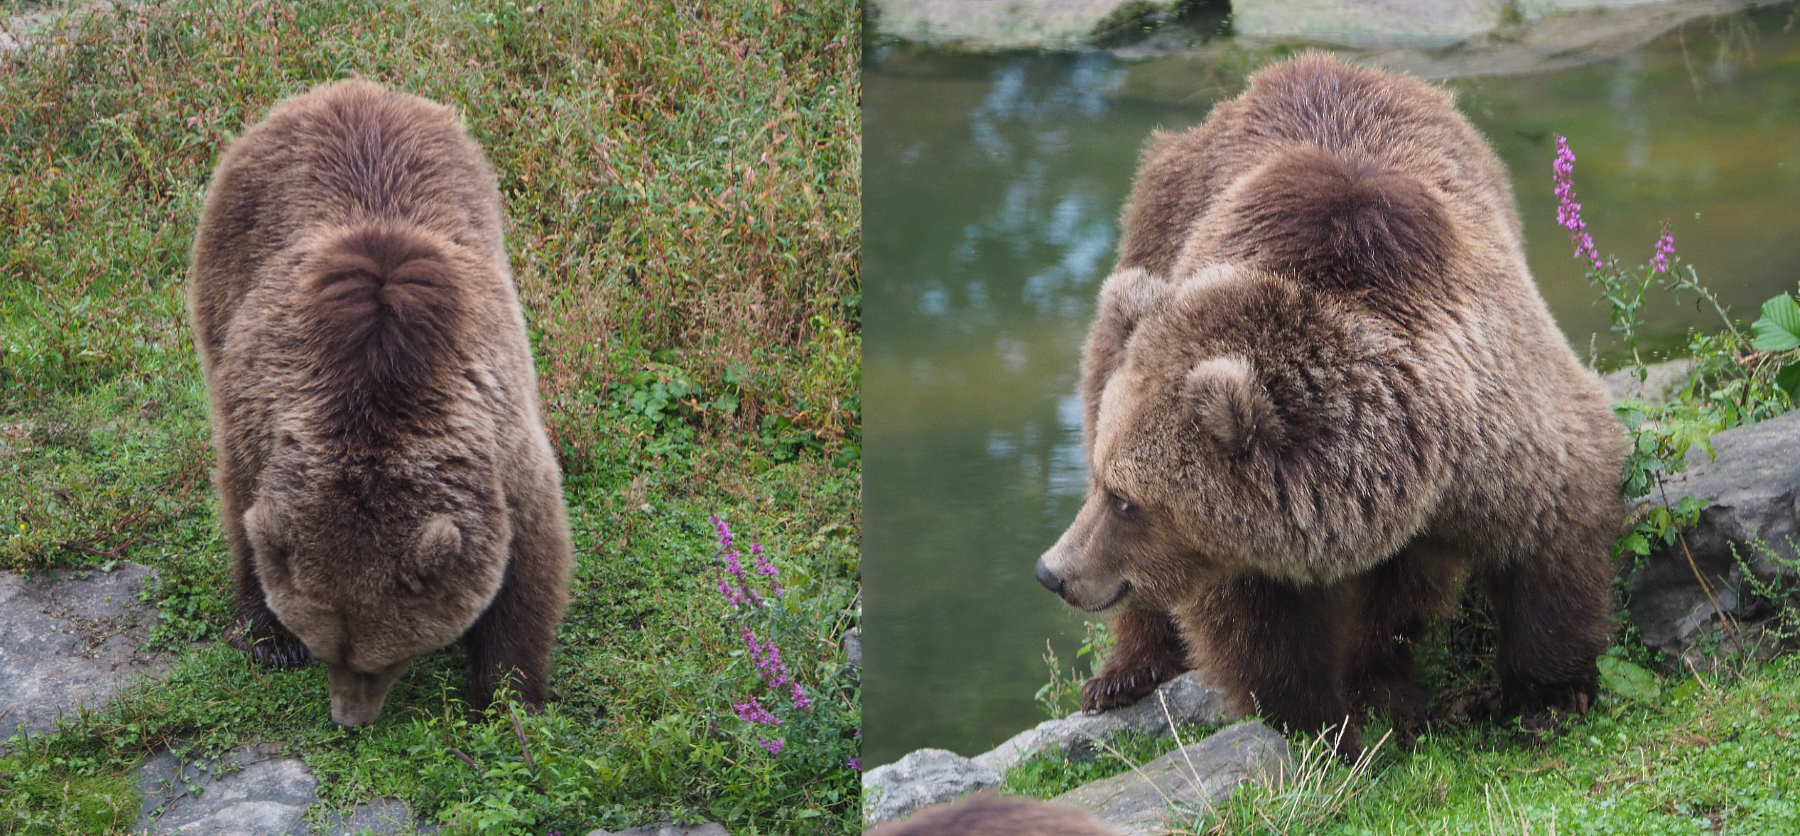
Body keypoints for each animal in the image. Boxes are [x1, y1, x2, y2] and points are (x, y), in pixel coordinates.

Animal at [187, 79, 573, 727]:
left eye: (381, 659)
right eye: (326, 650)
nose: (349, 719)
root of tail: (344, 89)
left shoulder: (501, 445)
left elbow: (528, 561)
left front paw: (509, 696)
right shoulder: (263, 408)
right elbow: (245, 508)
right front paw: (269, 639)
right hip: (226, 273)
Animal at [1033, 53, 1626, 751]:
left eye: (1128, 501)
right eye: (1106, 483)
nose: (1052, 571)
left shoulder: (1496, 419)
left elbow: (1552, 525)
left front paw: (1546, 695)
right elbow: (1265, 630)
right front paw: (1323, 722)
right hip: (1153, 245)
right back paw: (1124, 673)